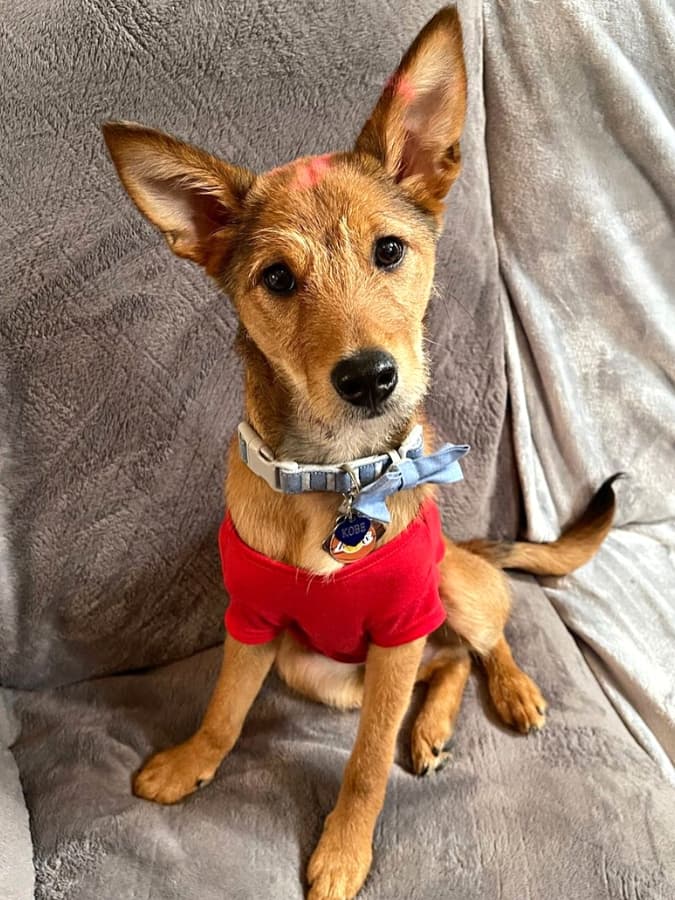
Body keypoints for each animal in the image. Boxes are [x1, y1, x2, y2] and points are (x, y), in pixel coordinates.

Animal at [101, 8, 616, 900]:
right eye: (276, 278)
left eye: (388, 251)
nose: (370, 378)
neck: (336, 475)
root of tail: (472, 544)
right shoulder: (254, 620)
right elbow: (225, 708)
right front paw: (190, 763)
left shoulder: (399, 621)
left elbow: (367, 764)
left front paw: (343, 851)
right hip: (318, 668)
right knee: (440, 667)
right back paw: (433, 727)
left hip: (448, 587)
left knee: (480, 642)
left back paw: (511, 692)